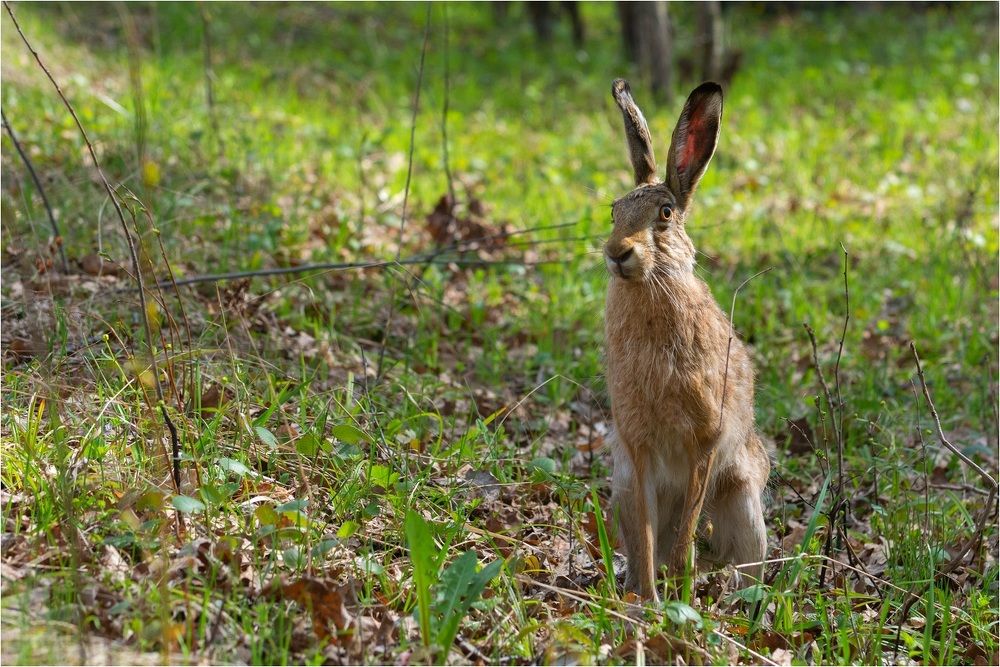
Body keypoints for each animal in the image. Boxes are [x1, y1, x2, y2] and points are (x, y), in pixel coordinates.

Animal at [604, 79, 770, 601]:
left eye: (664, 213)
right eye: (613, 212)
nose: (617, 253)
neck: (652, 284)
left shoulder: (705, 440)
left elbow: (684, 532)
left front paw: (675, 592)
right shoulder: (636, 453)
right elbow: (647, 538)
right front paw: (649, 602)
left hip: (743, 500)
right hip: (621, 489)